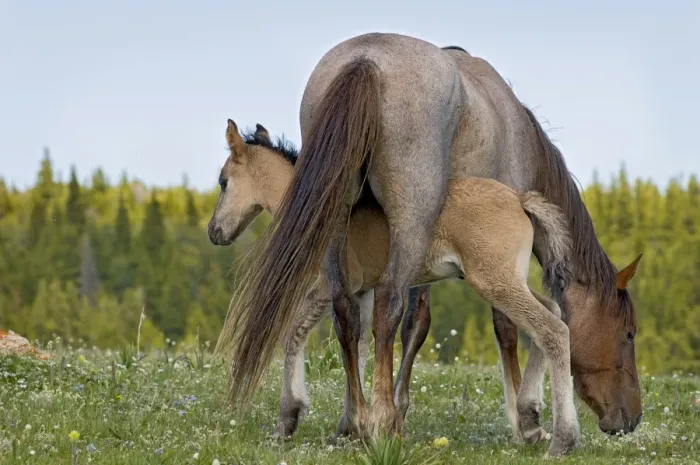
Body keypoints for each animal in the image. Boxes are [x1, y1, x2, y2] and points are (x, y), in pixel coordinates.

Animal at [210, 120, 577, 454]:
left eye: (223, 181)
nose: (214, 231)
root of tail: (520, 198)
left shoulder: (329, 285)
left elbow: (294, 333)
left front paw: (289, 418)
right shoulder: (361, 291)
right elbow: (355, 344)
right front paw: (350, 426)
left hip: (493, 280)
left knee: (553, 329)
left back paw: (561, 438)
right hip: (509, 278)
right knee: (554, 310)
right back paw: (530, 416)